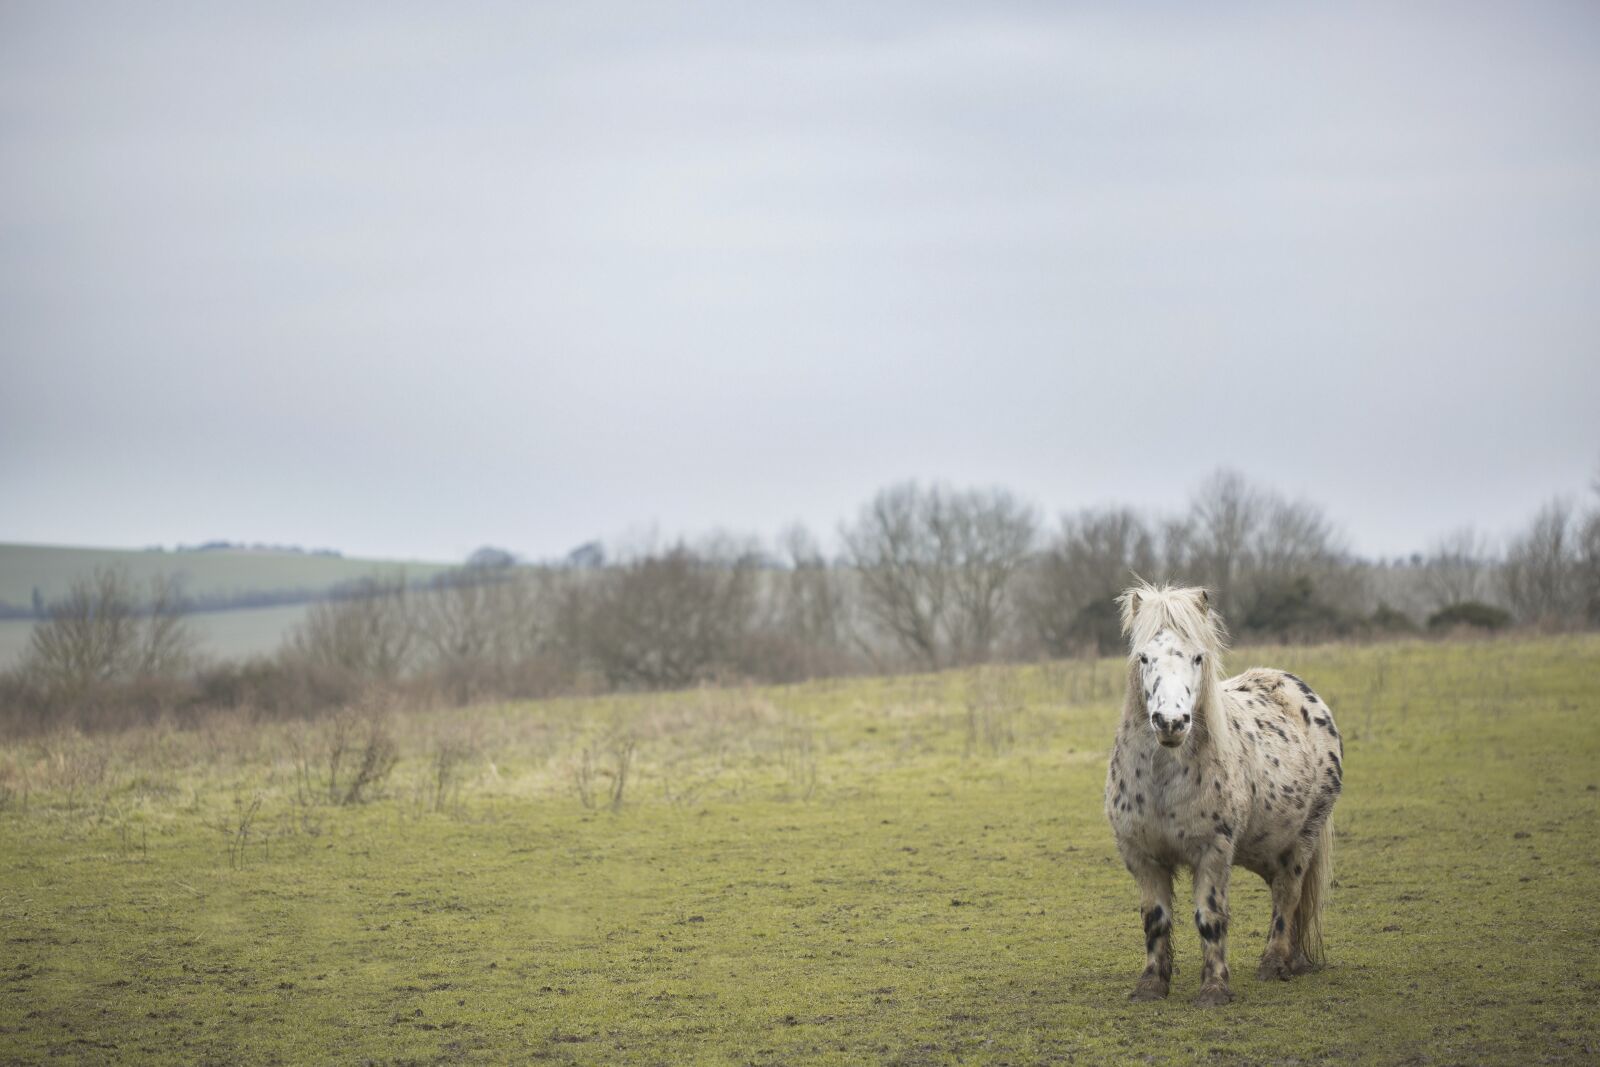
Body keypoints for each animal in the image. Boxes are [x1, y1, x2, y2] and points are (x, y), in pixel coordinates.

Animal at [1100, 585, 1337, 1011]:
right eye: (1144, 657)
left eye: (1197, 657)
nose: (1171, 722)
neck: (1164, 781)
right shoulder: (1141, 856)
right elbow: (1155, 919)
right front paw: (1151, 985)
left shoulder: (1213, 852)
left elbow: (1210, 918)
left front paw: (1214, 989)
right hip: (1265, 847)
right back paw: (1292, 960)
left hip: (1302, 839)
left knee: (1287, 894)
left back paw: (1274, 963)